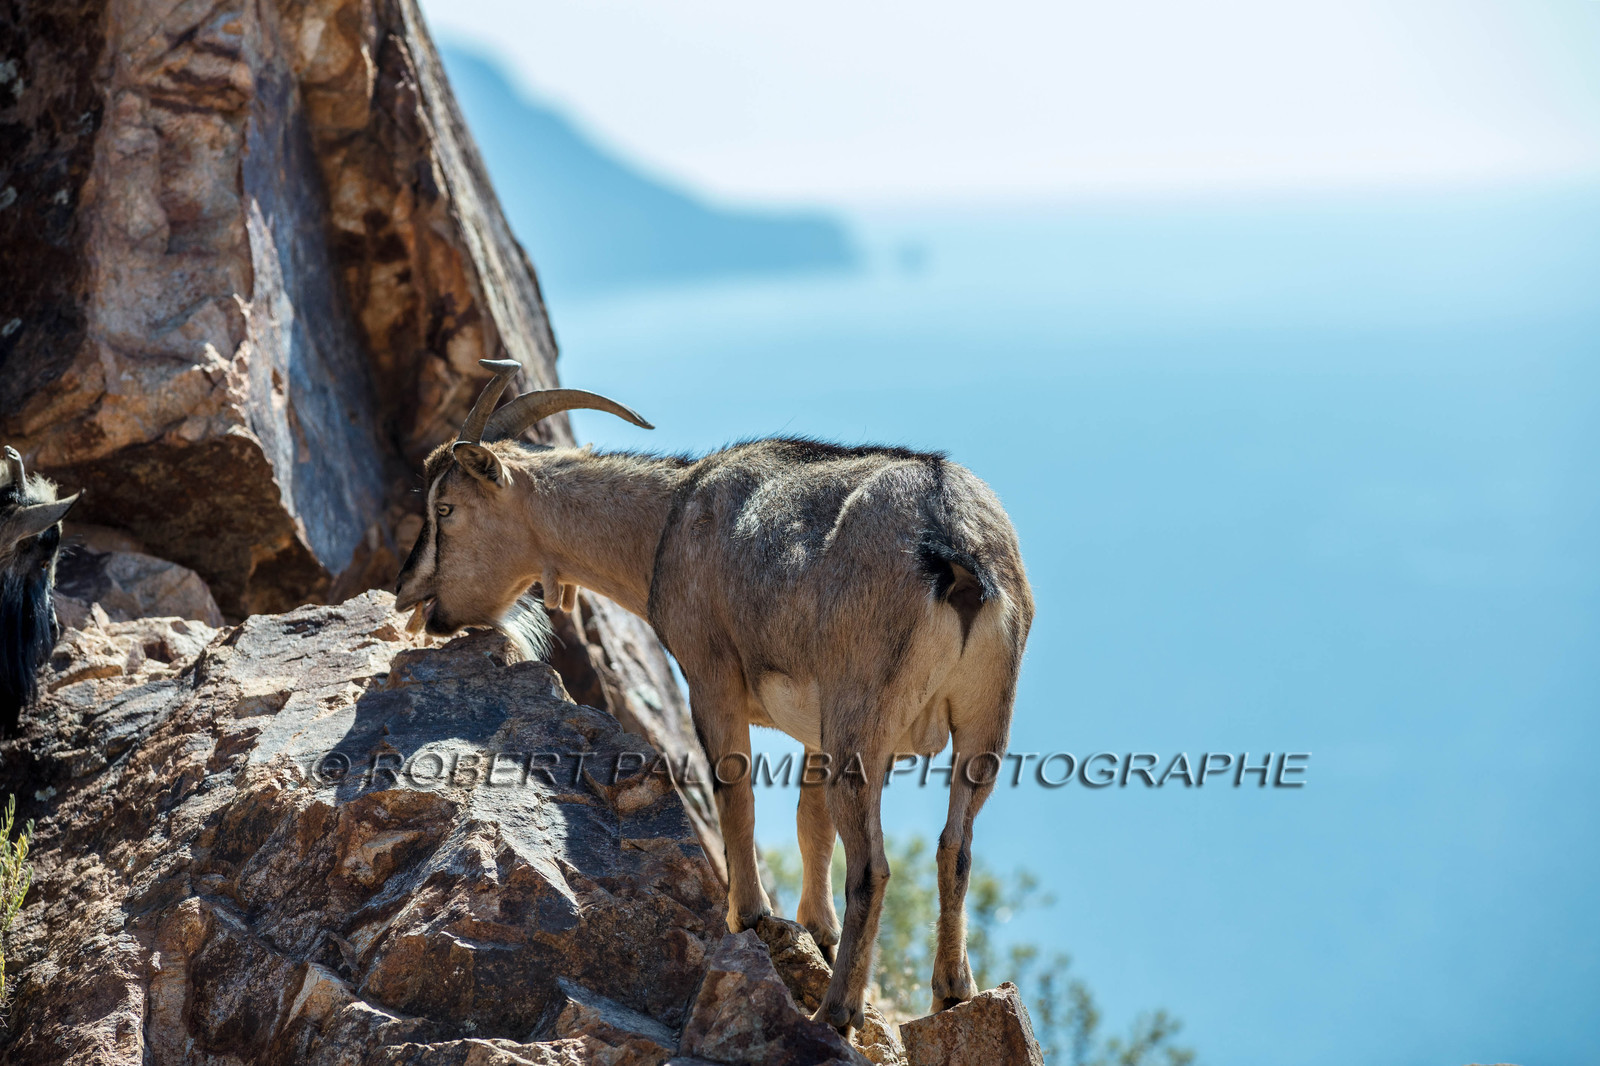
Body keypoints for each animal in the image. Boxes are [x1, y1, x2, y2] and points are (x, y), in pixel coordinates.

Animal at [395, 360, 1033, 1033]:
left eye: (446, 507)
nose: (408, 590)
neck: (669, 522)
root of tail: (954, 542)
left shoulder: (711, 678)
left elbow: (736, 795)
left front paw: (748, 918)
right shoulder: (817, 728)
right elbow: (811, 825)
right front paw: (815, 931)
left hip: (864, 713)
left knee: (873, 868)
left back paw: (836, 1011)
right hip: (983, 719)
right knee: (954, 848)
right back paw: (952, 992)